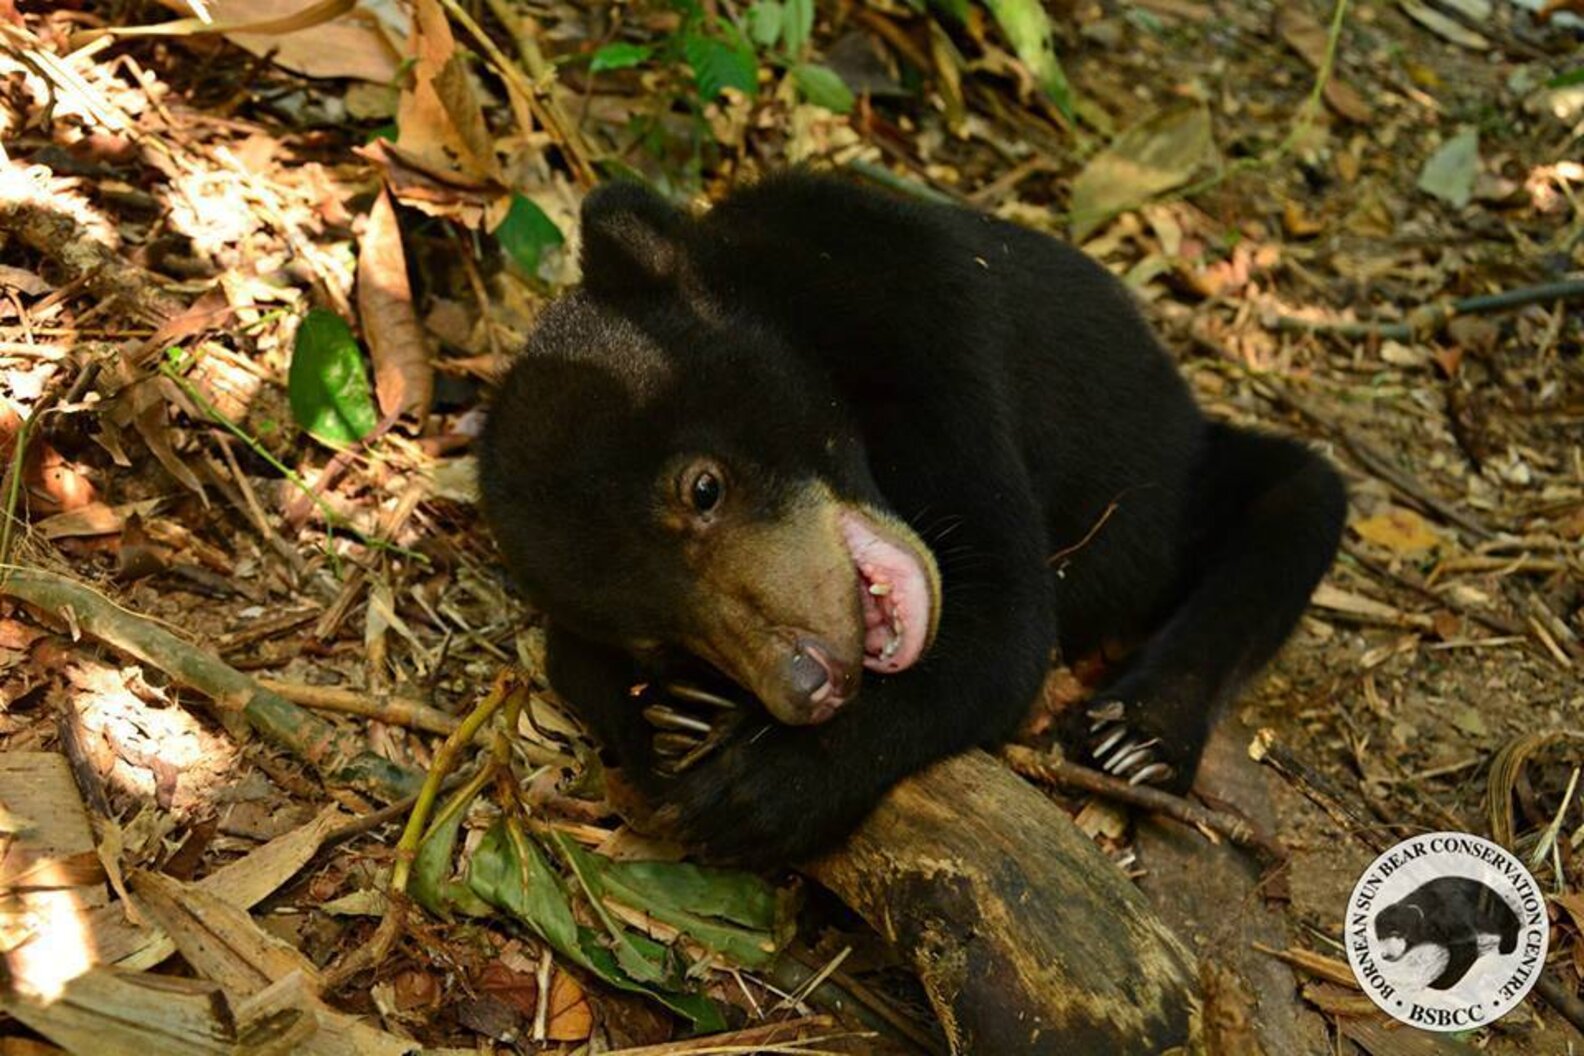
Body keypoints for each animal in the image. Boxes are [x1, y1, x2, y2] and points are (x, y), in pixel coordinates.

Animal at [477, 171, 1346, 865]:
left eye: (703, 490)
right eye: (654, 634)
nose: (810, 686)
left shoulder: (934, 337)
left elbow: (1005, 628)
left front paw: (759, 785)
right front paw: (672, 716)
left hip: (1164, 487)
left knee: (1300, 497)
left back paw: (1135, 739)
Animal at [1374, 877, 1522, 991]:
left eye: (1396, 933)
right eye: (1380, 938)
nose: (1385, 955)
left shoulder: (1450, 917)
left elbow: (1465, 950)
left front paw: (1435, 985)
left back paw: (1507, 945)